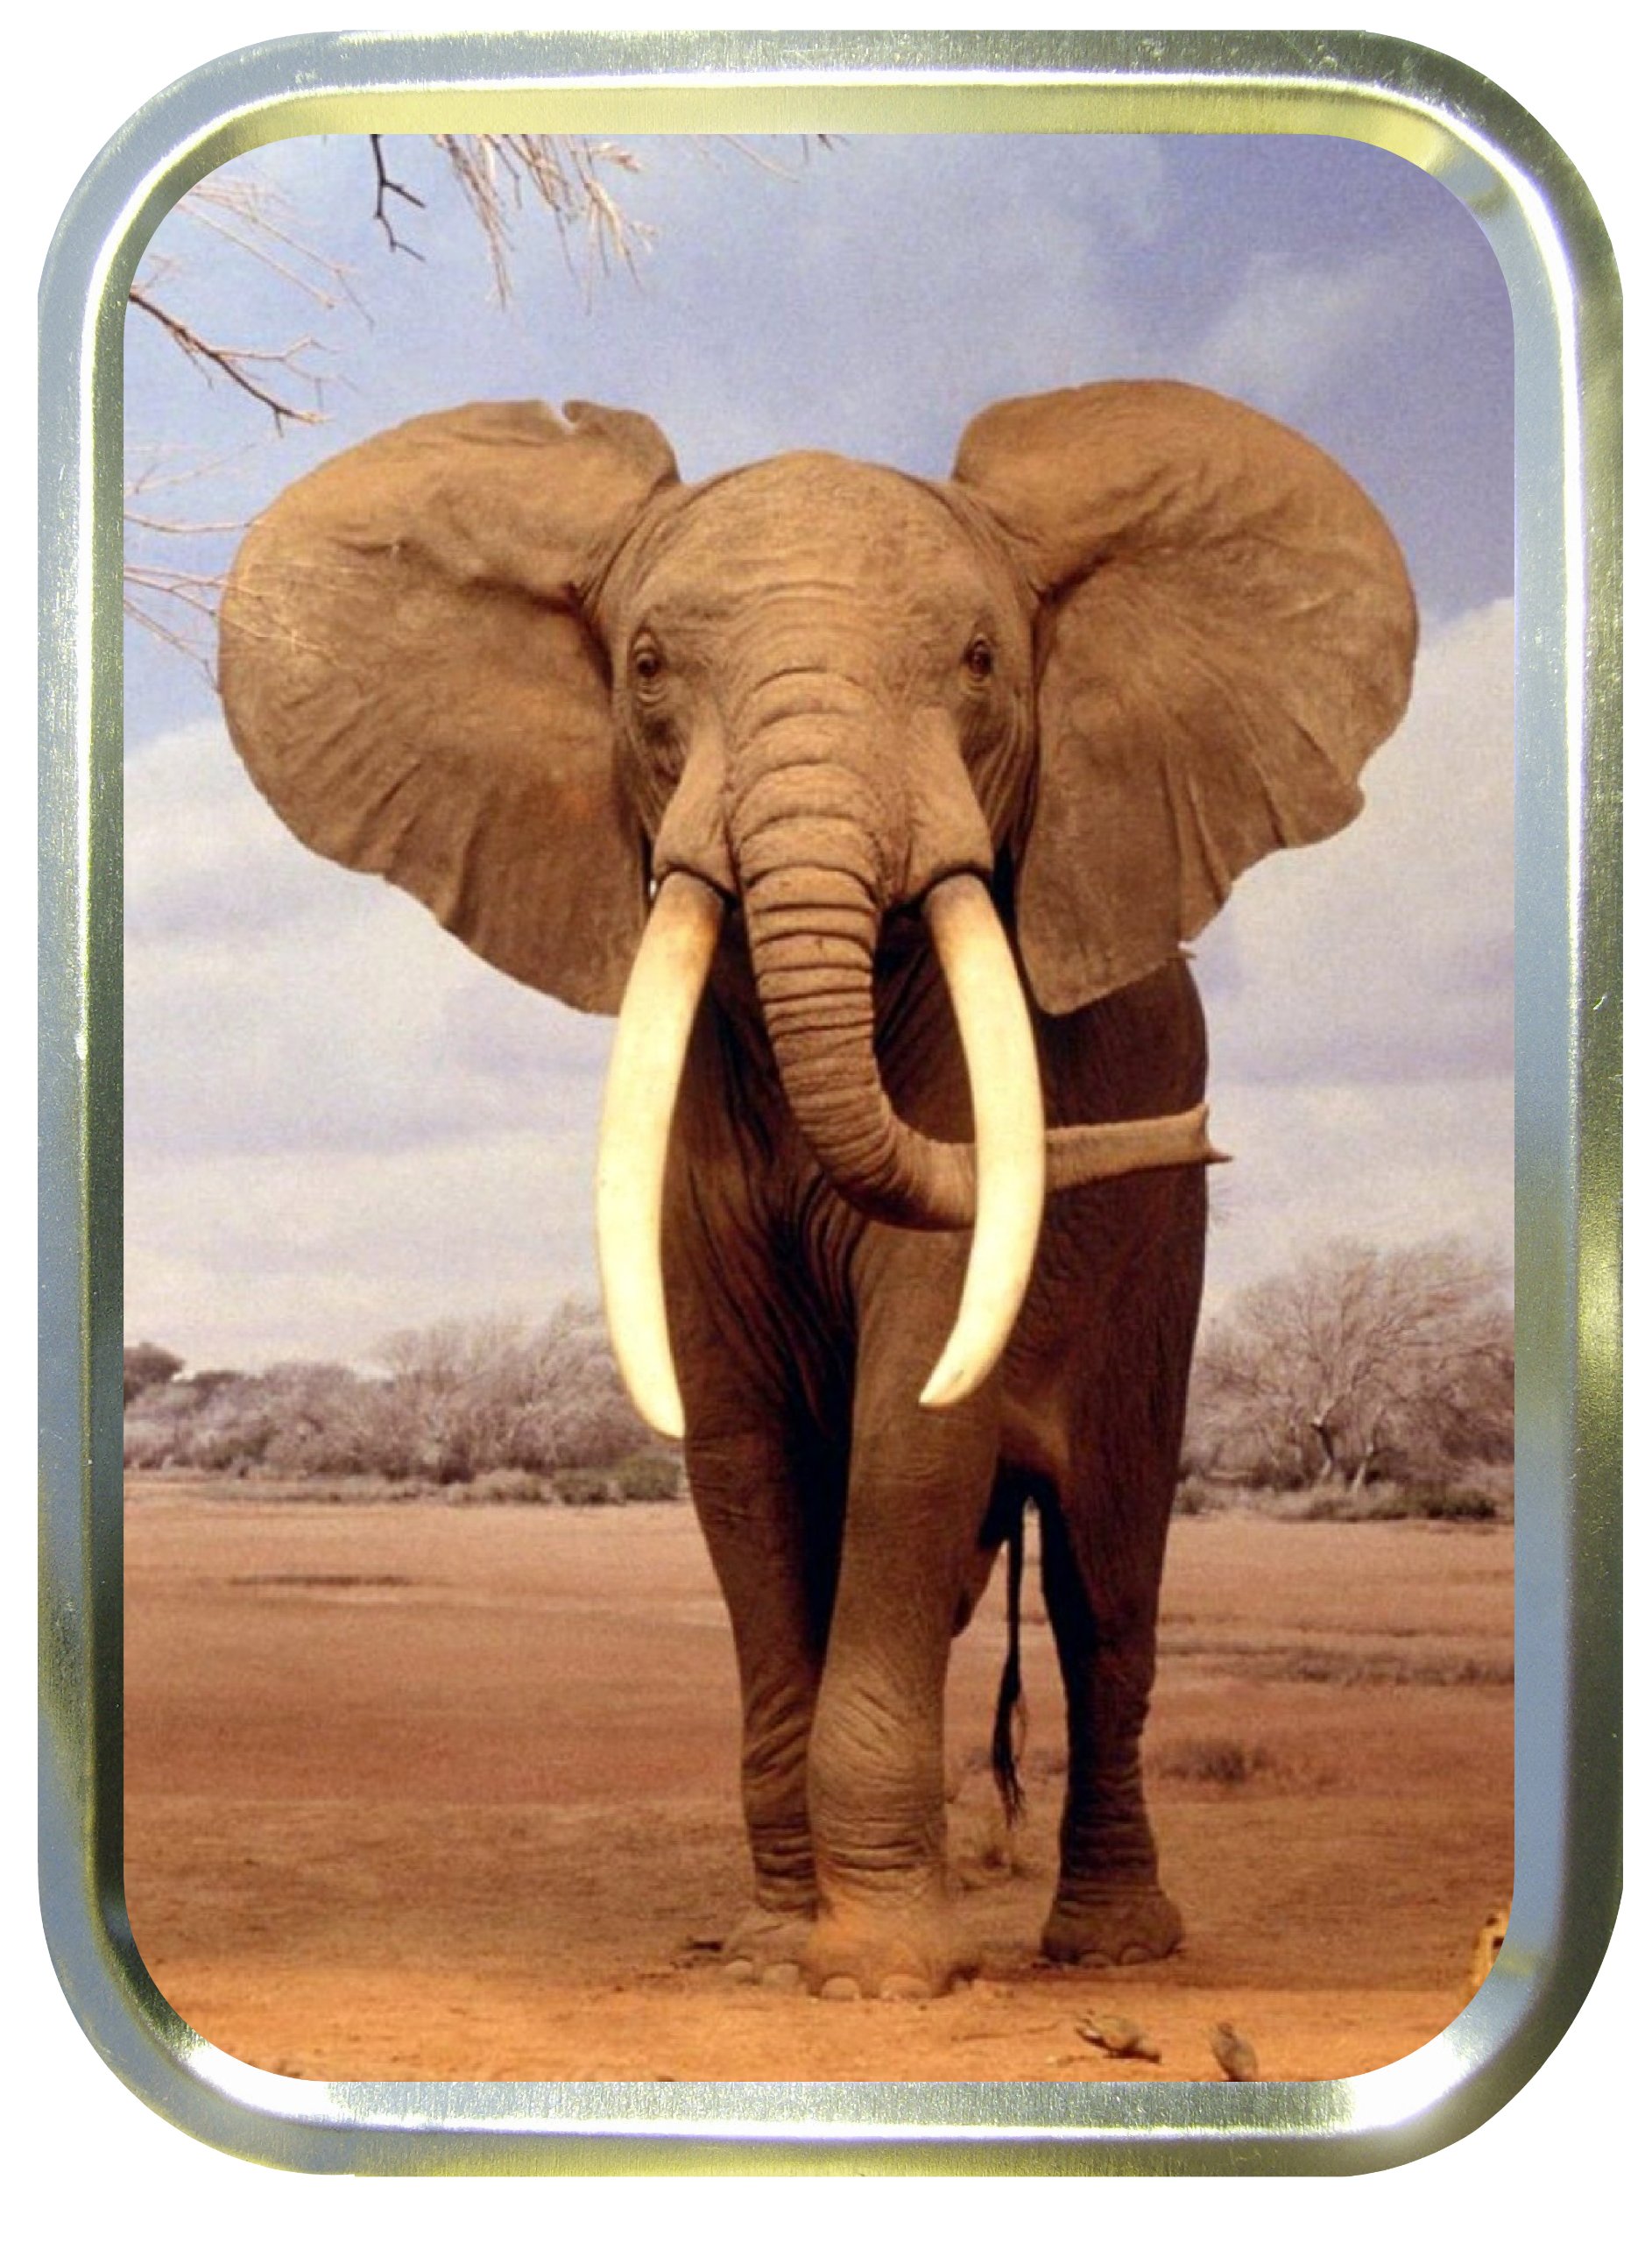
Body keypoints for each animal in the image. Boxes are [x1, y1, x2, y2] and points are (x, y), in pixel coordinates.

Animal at [218, 379, 1416, 1999]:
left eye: (979, 664)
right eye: (647, 667)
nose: (1203, 1133)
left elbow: (914, 1424)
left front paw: (878, 1976)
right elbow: (740, 1452)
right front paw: (772, 1949)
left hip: (1165, 1265)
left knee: (1107, 1586)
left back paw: (1109, 1952)